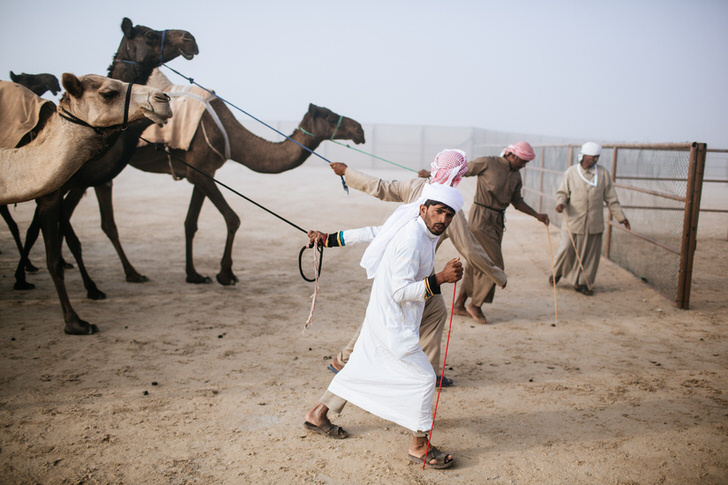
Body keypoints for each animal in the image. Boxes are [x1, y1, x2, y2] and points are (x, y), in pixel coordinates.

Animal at [13, 19, 199, 306]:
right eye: (149, 35)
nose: (190, 39)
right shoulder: (62, 185)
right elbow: (60, 231)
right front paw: (90, 287)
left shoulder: (83, 182)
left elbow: (104, 226)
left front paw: (131, 273)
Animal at [124, 99, 364, 286]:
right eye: (330, 117)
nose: (359, 130)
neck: (229, 136)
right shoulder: (200, 172)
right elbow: (233, 219)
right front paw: (226, 274)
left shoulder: (202, 171)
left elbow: (190, 223)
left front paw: (194, 275)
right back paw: (132, 274)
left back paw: (132, 273)